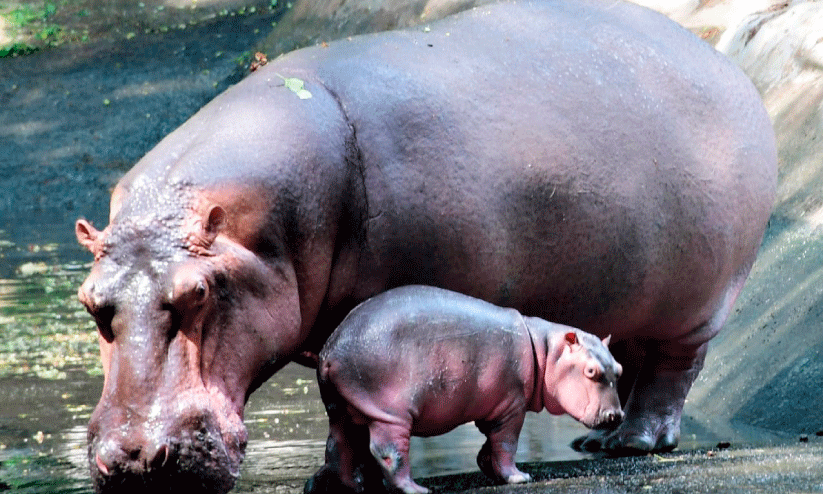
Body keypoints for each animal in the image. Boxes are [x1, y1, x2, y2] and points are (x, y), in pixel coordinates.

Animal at [306, 285, 624, 494]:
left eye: (619, 369)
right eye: (591, 371)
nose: (617, 416)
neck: (545, 350)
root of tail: (330, 350)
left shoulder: (493, 408)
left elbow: (490, 445)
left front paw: (487, 467)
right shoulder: (512, 408)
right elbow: (506, 444)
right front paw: (519, 478)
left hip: (342, 409)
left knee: (338, 445)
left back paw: (353, 487)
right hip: (390, 413)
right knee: (388, 451)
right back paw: (416, 490)